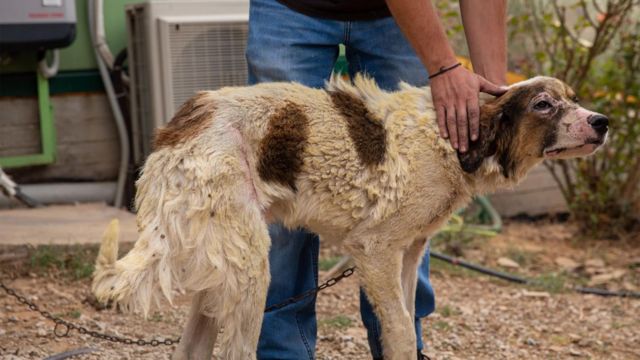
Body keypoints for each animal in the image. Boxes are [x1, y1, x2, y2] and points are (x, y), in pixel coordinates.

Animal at [92, 74, 608, 358]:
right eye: (544, 104)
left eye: (573, 97)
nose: (603, 122)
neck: (453, 140)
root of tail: (179, 125)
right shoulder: (373, 250)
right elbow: (399, 333)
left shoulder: (408, 252)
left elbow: (406, 324)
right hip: (251, 266)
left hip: (222, 261)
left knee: (191, 349)